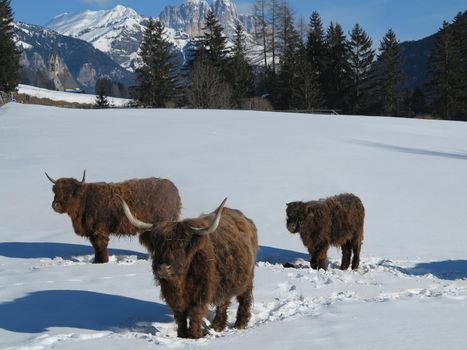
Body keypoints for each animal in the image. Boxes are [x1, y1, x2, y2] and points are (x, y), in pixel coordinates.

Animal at [45, 171, 181, 264]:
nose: (55, 205)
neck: (86, 200)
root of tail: (173, 189)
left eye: (70, 193)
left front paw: (102, 262)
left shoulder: (99, 230)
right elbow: (96, 247)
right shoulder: (93, 232)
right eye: (55, 191)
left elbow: (101, 246)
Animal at [120, 198, 258, 338]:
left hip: (247, 278)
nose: (164, 268)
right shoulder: (172, 295)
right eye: (157, 244)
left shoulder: (201, 294)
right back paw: (217, 326)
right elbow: (180, 316)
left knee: (244, 298)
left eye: (181, 244)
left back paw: (240, 324)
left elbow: (195, 314)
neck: (181, 281)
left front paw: (194, 335)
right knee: (223, 301)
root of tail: (245, 218)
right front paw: (181, 334)